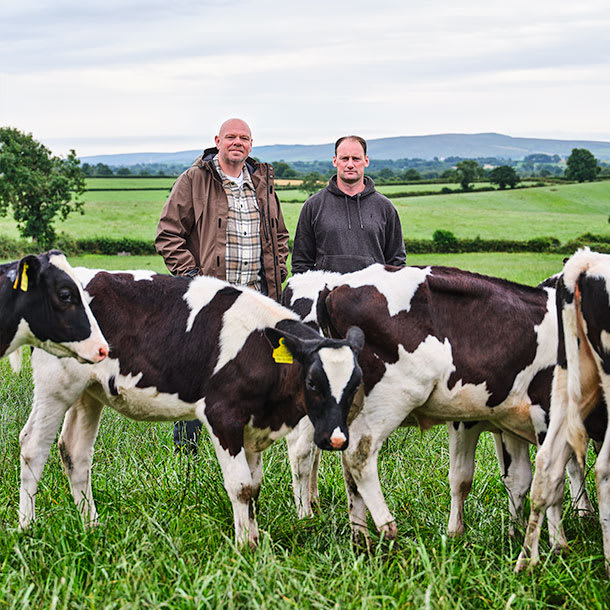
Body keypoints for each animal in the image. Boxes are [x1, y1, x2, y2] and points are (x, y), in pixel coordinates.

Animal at [17, 268, 360, 544]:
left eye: (355, 383)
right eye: (312, 382)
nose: (336, 438)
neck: (259, 346)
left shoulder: (253, 424)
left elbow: (254, 485)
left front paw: (253, 536)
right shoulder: (221, 415)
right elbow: (240, 486)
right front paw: (245, 547)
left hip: (88, 392)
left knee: (75, 452)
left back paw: (91, 526)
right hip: (55, 386)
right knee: (32, 446)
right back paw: (26, 528)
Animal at [284, 262, 592, 540]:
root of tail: (333, 286)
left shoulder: (500, 422)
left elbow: (514, 478)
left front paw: (512, 534)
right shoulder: (542, 416)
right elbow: (552, 477)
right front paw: (558, 542)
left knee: (339, 464)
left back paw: (358, 534)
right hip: (389, 398)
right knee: (346, 454)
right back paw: (366, 524)